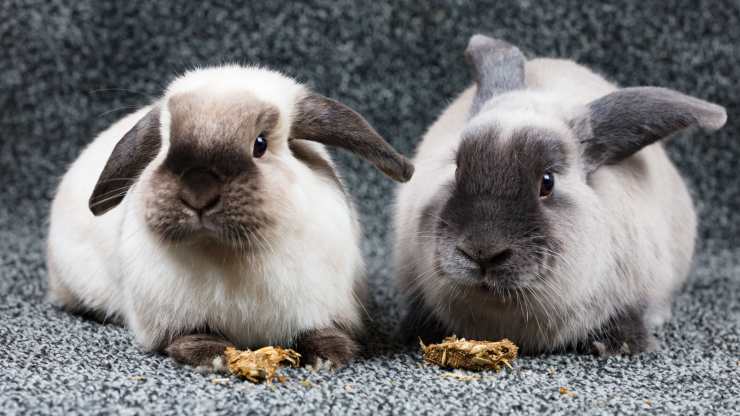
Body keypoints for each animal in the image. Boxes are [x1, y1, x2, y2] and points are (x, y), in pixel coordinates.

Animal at [46, 64, 414, 369]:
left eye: (260, 144)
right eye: (164, 147)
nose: (199, 192)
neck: (228, 253)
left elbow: (320, 331)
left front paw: (328, 356)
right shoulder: (173, 319)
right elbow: (191, 337)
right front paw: (214, 357)